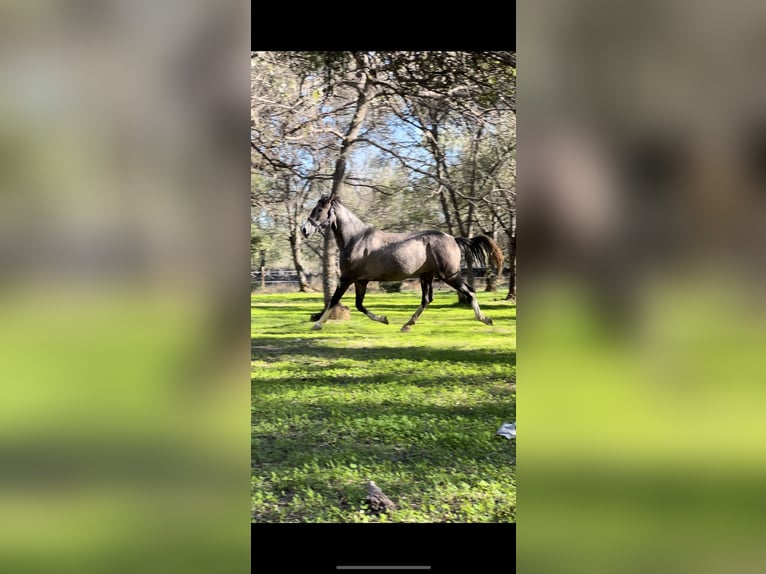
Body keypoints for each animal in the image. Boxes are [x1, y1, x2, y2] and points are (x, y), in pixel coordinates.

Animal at [304, 197, 508, 332]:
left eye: (320, 210)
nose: (304, 230)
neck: (356, 239)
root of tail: (453, 238)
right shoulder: (361, 281)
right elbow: (359, 305)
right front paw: (384, 319)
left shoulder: (347, 278)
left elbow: (334, 300)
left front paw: (317, 324)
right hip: (427, 276)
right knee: (427, 299)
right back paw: (407, 324)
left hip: (449, 275)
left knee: (469, 292)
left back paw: (485, 319)